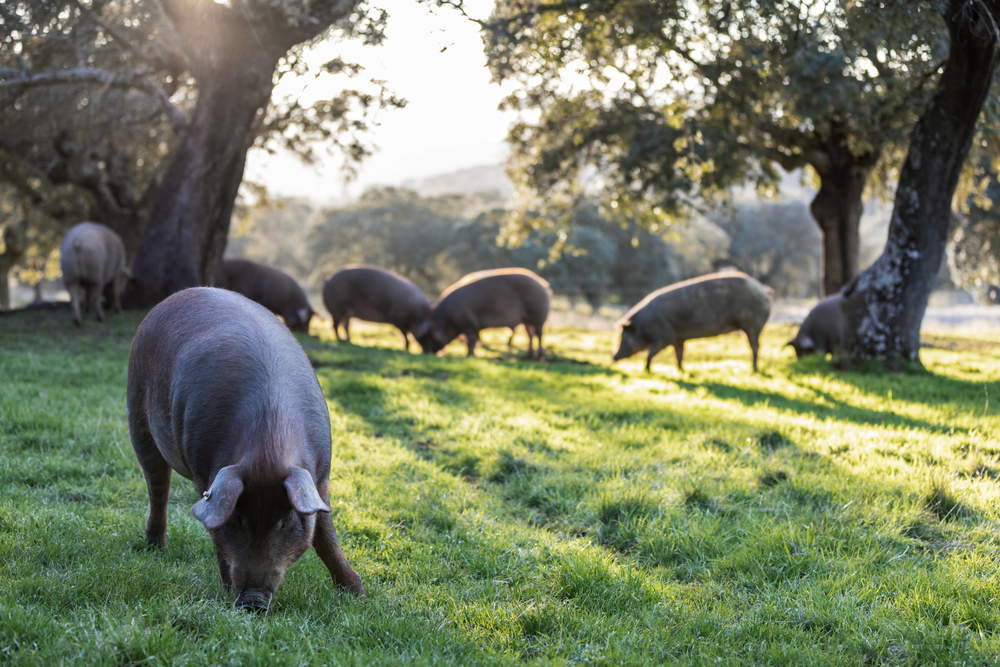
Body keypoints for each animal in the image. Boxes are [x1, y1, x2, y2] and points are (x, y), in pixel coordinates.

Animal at [126, 287, 364, 609]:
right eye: (237, 517)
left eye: (285, 521)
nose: (253, 602)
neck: (268, 445)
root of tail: (177, 295)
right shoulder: (205, 476)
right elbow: (216, 532)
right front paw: (226, 592)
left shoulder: (321, 475)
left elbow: (325, 534)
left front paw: (359, 595)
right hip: (136, 412)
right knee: (157, 486)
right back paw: (156, 548)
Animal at [415, 268, 552, 359]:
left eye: (428, 336)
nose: (427, 353)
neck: (446, 318)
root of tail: (543, 284)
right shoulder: (474, 326)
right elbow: (474, 340)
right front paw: (472, 354)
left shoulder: (469, 323)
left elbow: (471, 340)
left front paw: (469, 356)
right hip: (526, 320)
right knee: (530, 335)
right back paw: (528, 356)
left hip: (539, 315)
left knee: (539, 334)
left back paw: (540, 357)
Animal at [613, 272, 772, 372]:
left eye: (624, 337)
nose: (613, 356)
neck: (643, 325)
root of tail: (763, 289)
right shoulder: (678, 338)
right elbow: (679, 354)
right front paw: (681, 370)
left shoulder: (664, 335)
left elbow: (651, 353)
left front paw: (646, 370)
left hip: (753, 324)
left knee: (756, 346)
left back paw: (754, 370)